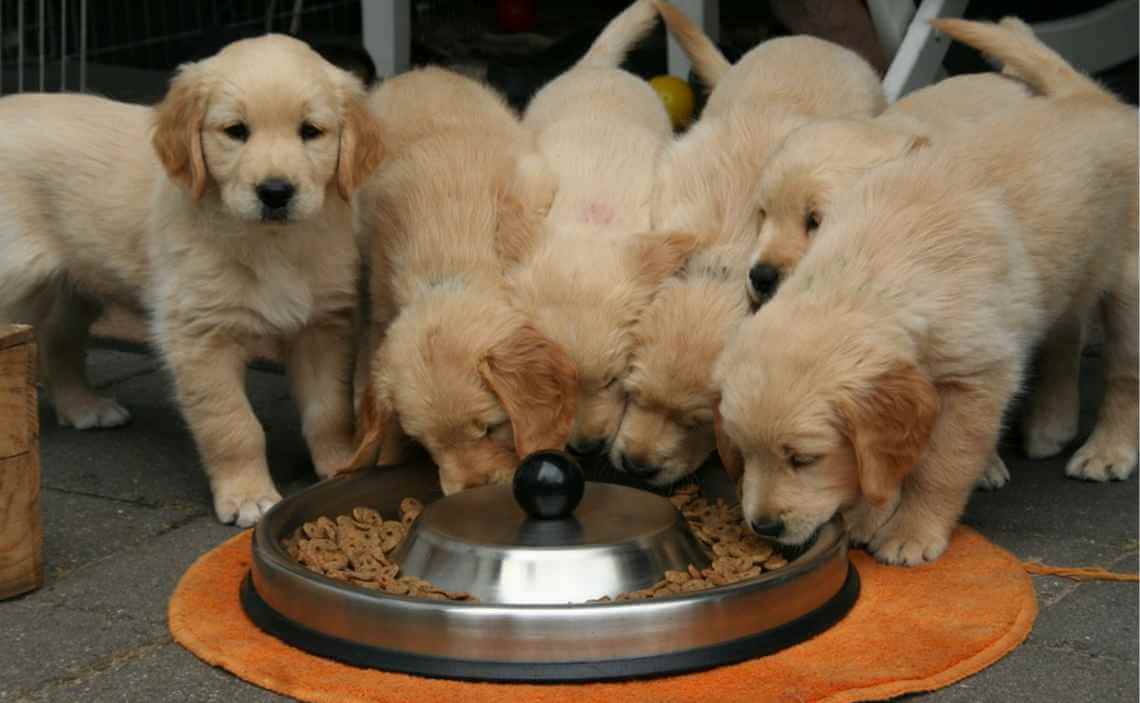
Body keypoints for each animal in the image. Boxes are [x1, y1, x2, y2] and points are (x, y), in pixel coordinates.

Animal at [0, 34, 383, 526]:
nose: (275, 192)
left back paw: (84, 407)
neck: (271, 244)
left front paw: (340, 465)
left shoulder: (322, 326)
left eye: (310, 131)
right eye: (236, 131)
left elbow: (327, 409)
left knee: (56, 340)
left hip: (73, 284)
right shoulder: (200, 336)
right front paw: (247, 495)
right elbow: (233, 425)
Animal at [346, 65, 570, 494]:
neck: (450, 269)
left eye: (491, 428)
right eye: (424, 442)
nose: (472, 488)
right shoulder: (380, 302)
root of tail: (420, 71)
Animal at [715, 17, 1135, 565]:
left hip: (1128, 285)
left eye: (804, 459)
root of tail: (1094, 97)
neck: (868, 274)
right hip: (1063, 275)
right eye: (744, 453)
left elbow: (941, 464)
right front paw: (870, 513)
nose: (763, 526)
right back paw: (1052, 424)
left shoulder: (978, 377)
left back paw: (1108, 450)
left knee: (1126, 376)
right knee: (1065, 332)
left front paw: (911, 530)